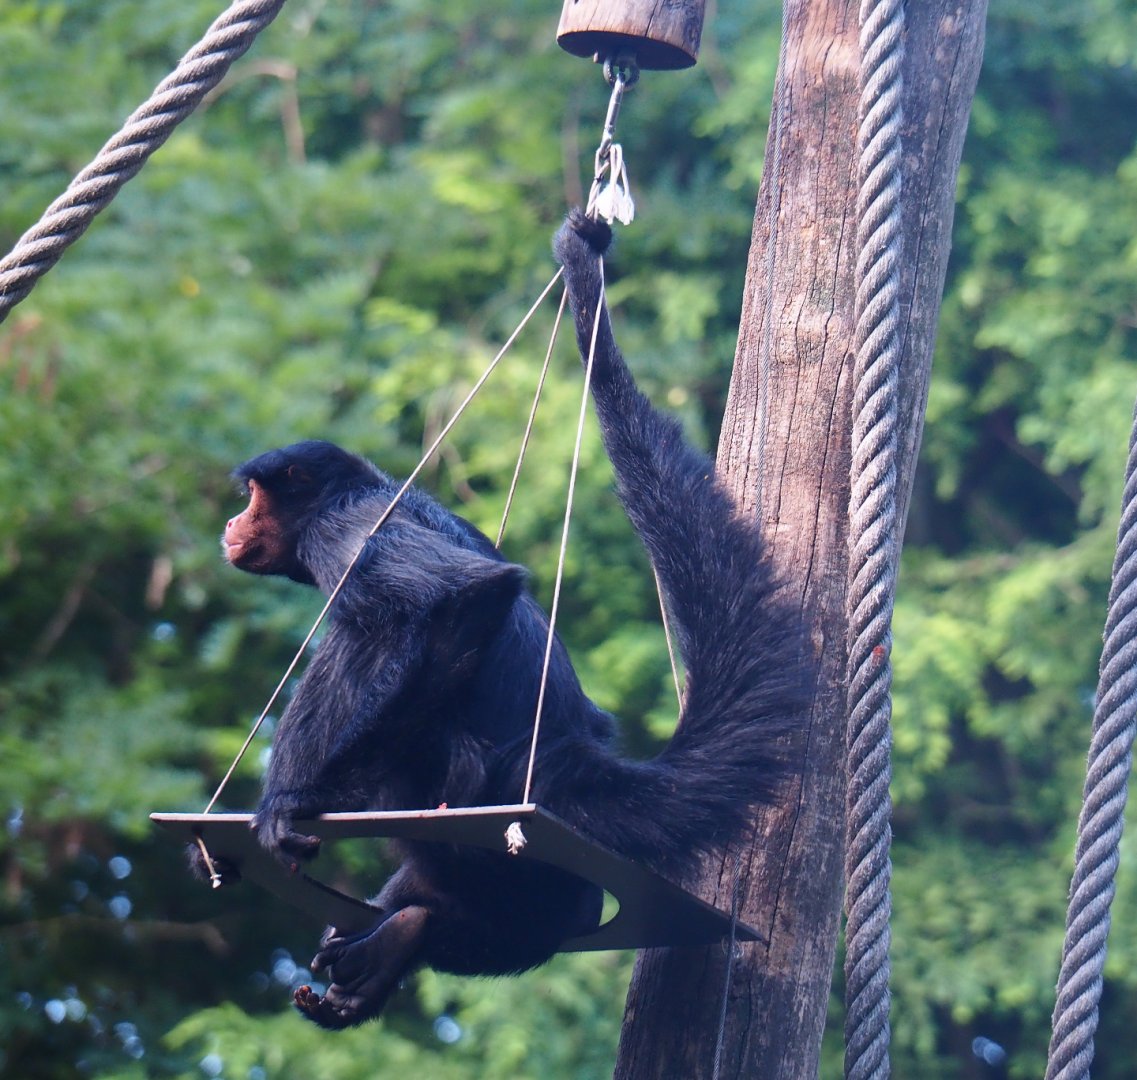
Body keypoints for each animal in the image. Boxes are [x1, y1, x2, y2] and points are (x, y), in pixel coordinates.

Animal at [204, 210, 805, 1029]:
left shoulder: (346, 525)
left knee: (363, 635)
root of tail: (566, 764)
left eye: (255, 496)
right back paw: (410, 932)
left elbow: (464, 598)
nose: (233, 522)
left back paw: (406, 922)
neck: (367, 488)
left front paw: (296, 804)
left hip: (456, 775)